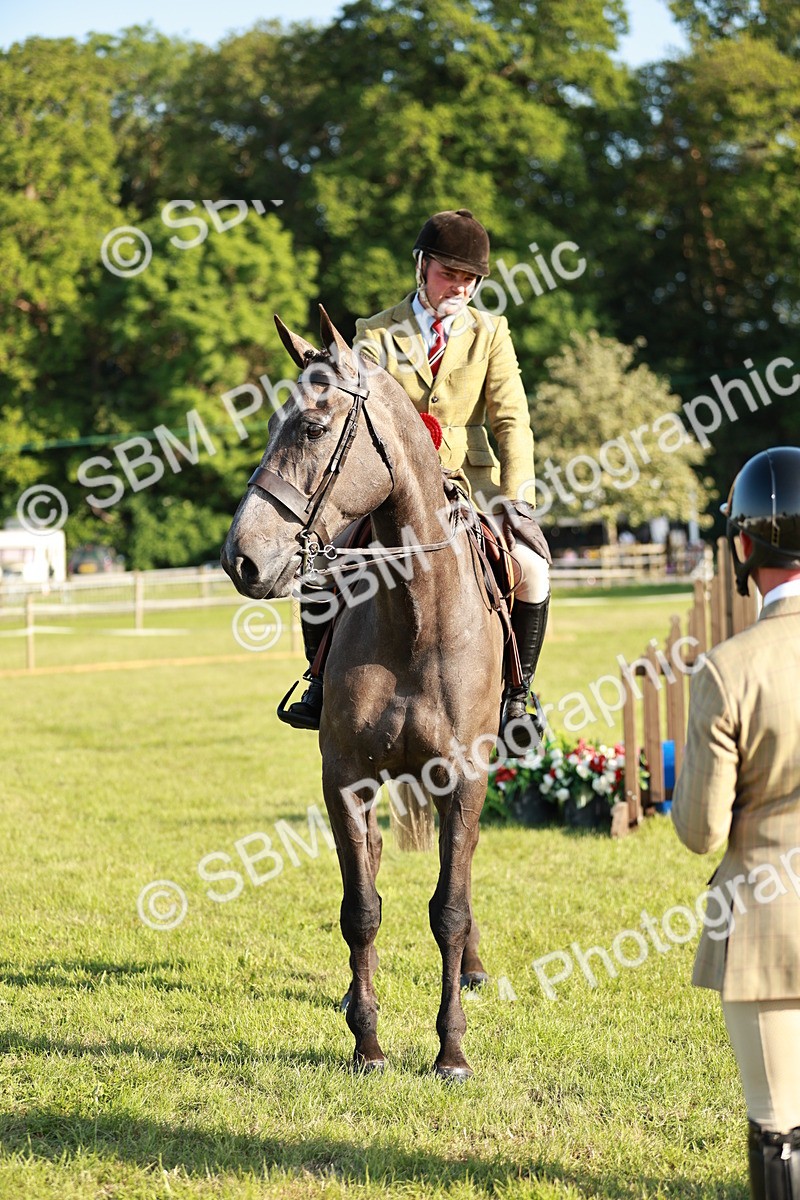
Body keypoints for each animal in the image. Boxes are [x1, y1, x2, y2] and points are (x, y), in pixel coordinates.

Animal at [221, 307, 504, 1080]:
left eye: (313, 427)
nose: (239, 558)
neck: (416, 616)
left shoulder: (464, 780)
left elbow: (450, 909)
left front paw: (451, 1050)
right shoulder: (345, 779)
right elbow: (362, 909)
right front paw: (368, 1042)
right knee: (372, 868)